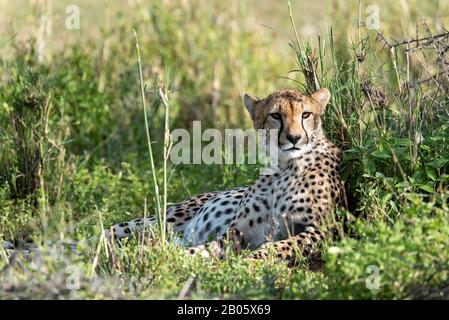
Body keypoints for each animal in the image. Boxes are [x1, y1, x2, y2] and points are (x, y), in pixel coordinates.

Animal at [100, 86, 342, 262]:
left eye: (306, 114)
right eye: (276, 115)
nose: (294, 138)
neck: (284, 166)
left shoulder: (324, 230)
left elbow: (282, 245)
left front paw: (251, 261)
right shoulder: (235, 233)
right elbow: (205, 248)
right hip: (166, 217)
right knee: (112, 230)